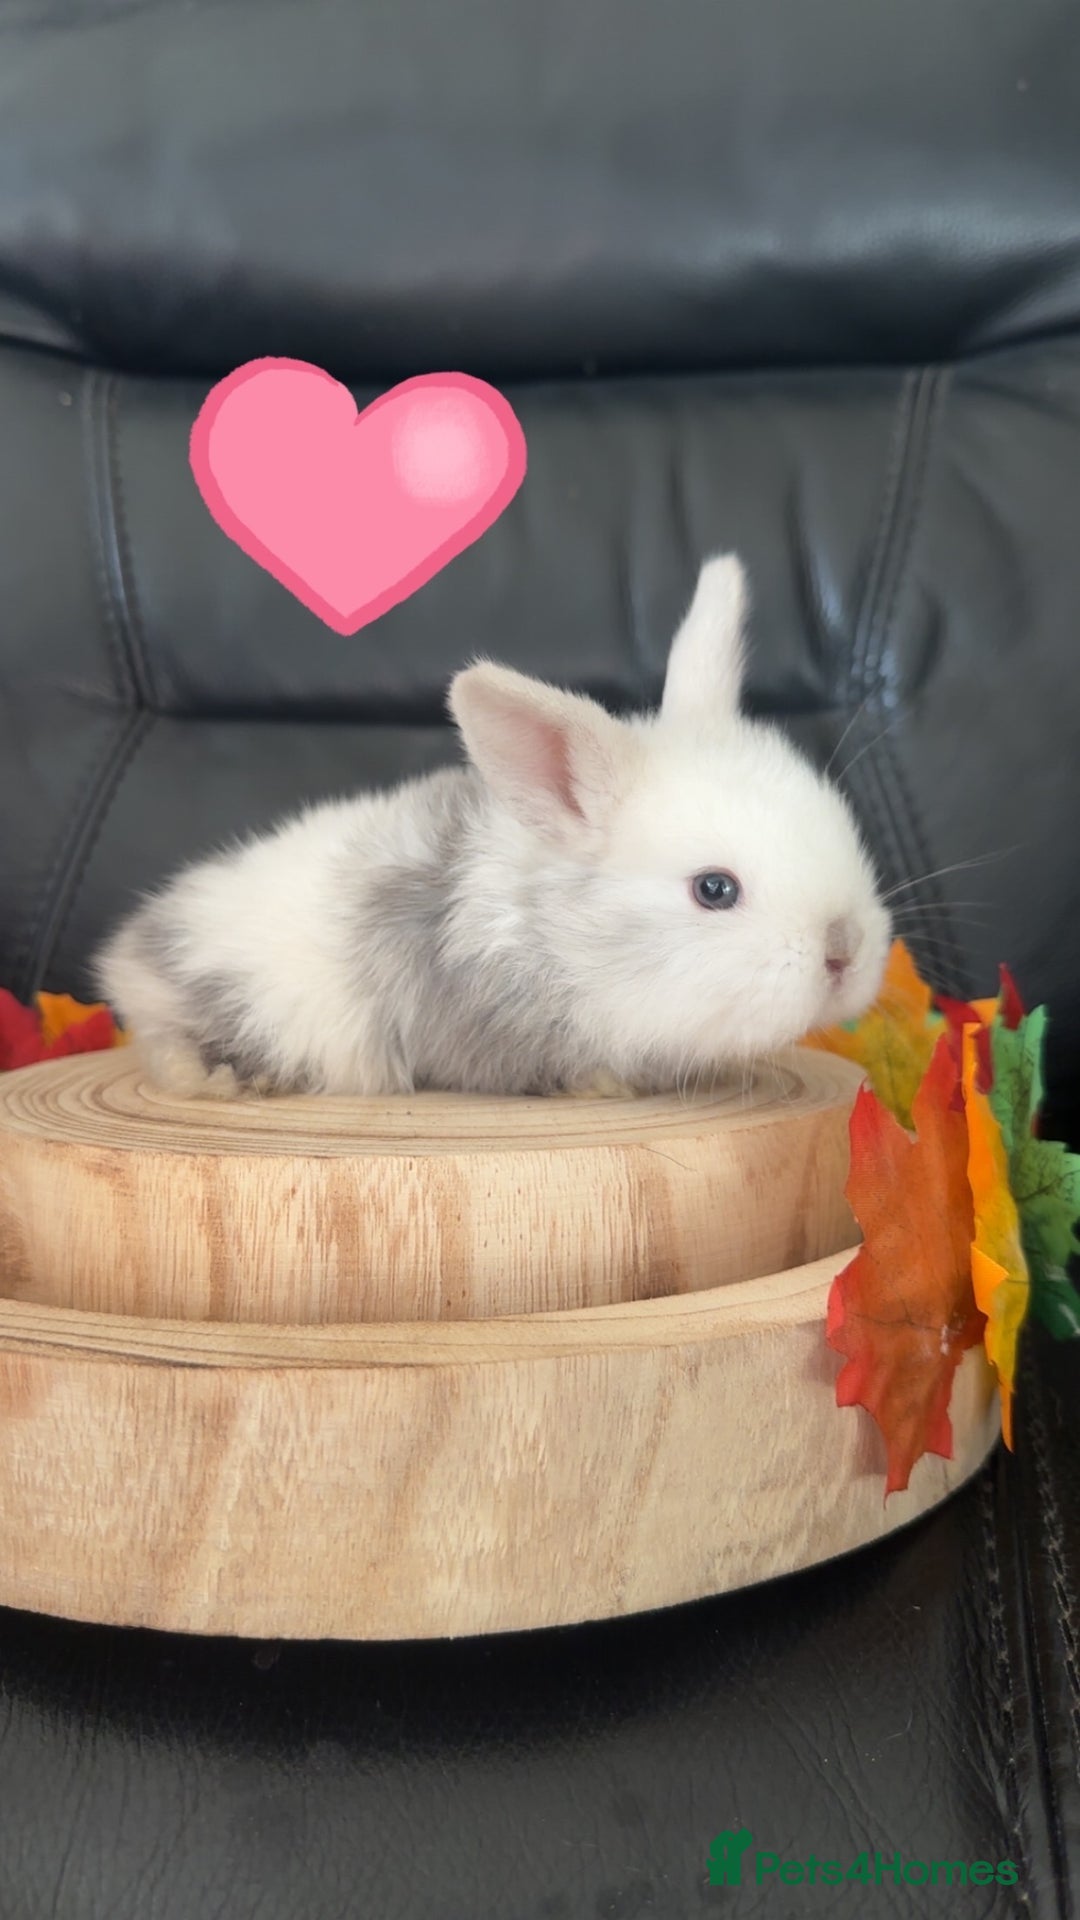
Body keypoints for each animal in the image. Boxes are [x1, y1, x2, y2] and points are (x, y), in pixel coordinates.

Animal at [94, 554, 891, 1101]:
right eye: (715, 889)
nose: (844, 950)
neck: (555, 936)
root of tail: (131, 950)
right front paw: (604, 1087)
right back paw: (216, 1080)